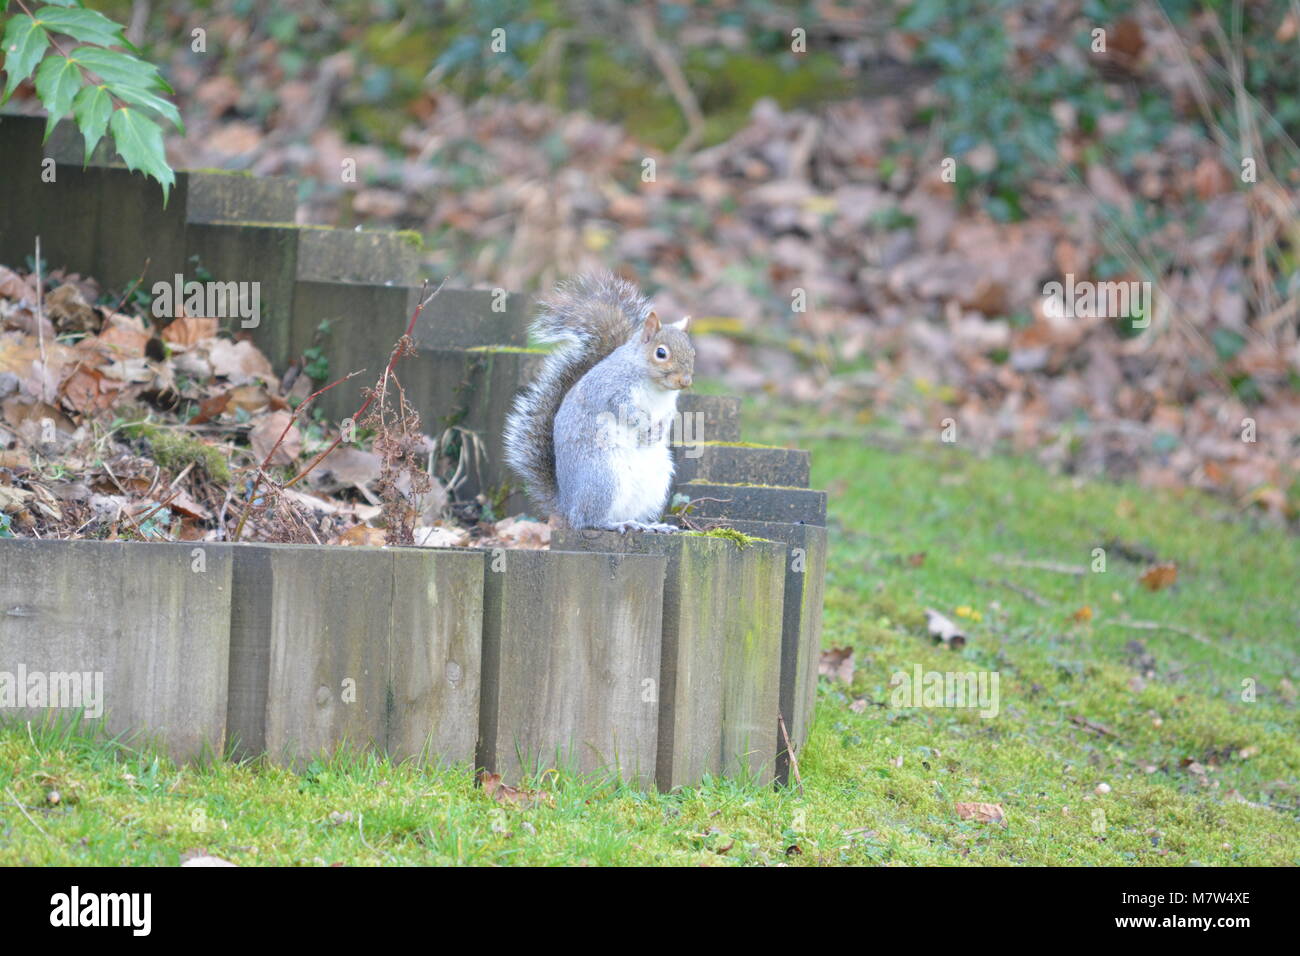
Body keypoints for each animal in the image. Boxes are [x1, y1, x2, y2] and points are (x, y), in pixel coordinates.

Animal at [501, 273, 696, 535]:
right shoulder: (610, 389)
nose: (685, 381)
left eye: (693, 352)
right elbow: (624, 410)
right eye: (661, 353)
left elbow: (669, 415)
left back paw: (650, 525)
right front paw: (644, 424)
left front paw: (659, 430)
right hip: (603, 477)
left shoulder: (668, 405)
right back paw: (618, 523)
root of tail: (567, 505)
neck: (656, 386)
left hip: (655, 481)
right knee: (589, 519)